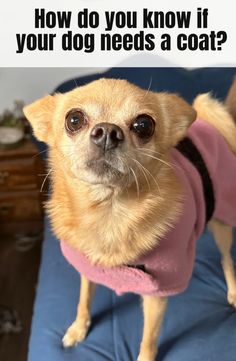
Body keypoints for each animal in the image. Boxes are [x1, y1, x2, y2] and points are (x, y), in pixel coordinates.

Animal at [23, 78, 236, 360]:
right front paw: (79, 328)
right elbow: (83, 299)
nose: (107, 131)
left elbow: (149, 337)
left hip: (222, 220)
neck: (109, 213)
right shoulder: (88, 269)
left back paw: (233, 290)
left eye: (144, 125)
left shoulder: (157, 292)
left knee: (226, 258)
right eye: (74, 120)